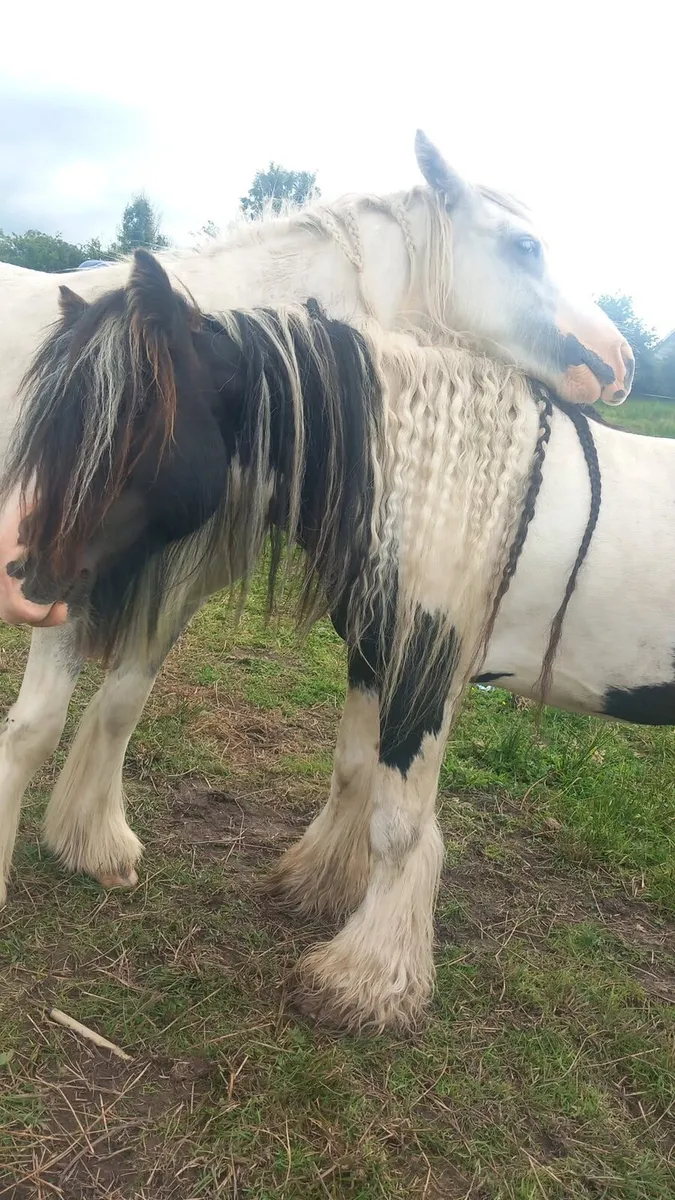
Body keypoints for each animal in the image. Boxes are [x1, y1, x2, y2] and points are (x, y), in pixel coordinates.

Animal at [0, 132, 633, 921]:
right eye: (525, 245)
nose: (620, 363)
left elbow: (122, 702)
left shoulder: (178, 577)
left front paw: (94, 845)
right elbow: (34, 729)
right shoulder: (69, 573)